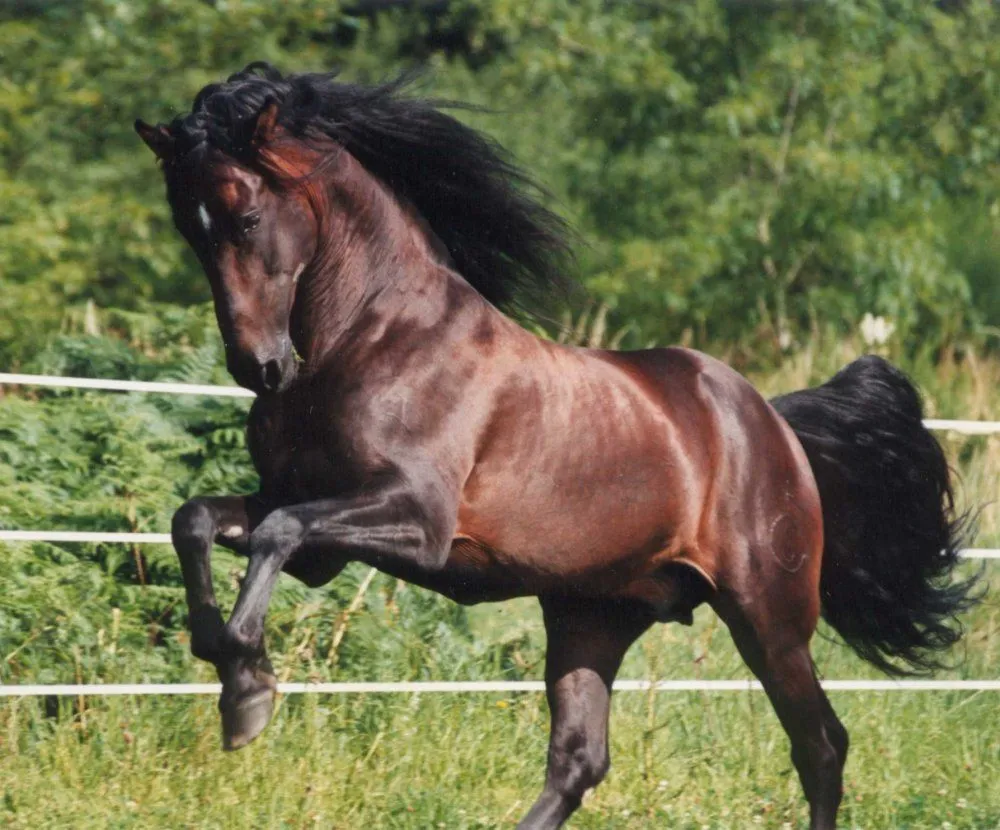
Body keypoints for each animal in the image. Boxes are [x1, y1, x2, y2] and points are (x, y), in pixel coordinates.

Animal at [137, 65, 980, 830]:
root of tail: (772, 424)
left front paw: (248, 691)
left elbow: (274, 532)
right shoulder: (318, 540)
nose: (260, 367)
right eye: (186, 225)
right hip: (592, 616)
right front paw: (233, 673)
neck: (374, 335)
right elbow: (198, 519)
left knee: (821, 747)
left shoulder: (415, 518)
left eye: (247, 216)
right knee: (579, 760)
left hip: (768, 617)